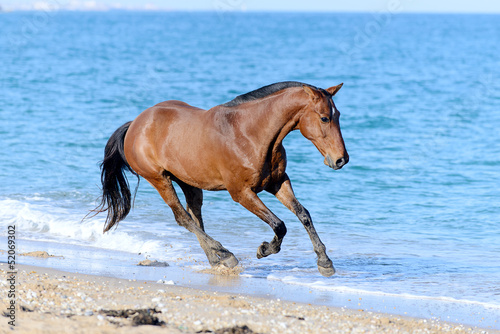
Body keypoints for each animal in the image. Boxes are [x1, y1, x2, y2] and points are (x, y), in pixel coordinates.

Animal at [94, 81, 352, 276]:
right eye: (324, 118)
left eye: (338, 115)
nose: (341, 159)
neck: (250, 133)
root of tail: (135, 124)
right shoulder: (241, 193)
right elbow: (280, 224)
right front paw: (264, 249)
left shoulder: (278, 183)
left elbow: (303, 214)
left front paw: (325, 262)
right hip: (159, 180)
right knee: (183, 218)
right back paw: (226, 255)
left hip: (189, 182)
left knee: (195, 218)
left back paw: (216, 259)